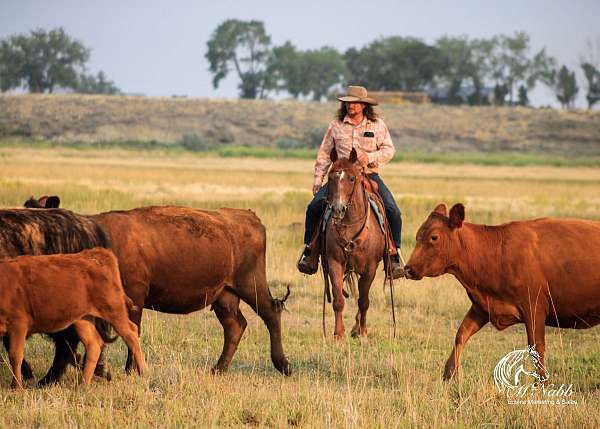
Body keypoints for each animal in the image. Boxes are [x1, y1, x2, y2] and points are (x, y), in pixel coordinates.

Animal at [1, 247, 147, 388]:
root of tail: (97, 254)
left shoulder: (18, 324)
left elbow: (15, 356)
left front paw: (17, 387)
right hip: (83, 319)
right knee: (93, 344)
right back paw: (83, 384)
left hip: (114, 311)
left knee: (131, 333)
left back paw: (144, 373)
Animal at [318, 147, 394, 338]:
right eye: (330, 177)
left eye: (352, 178)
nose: (338, 209)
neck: (351, 225)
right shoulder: (334, 263)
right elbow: (338, 299)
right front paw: (338, 334)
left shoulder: (370, 268)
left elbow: (364, 301)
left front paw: (362, 332)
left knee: (362, 297)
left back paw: (357, 328)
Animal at [406, 204, 600, 382]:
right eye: (417, 236)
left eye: (434, 237)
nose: (408, 269)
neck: (495, 254)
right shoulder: (481, 307)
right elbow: (461, 334)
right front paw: (449, 373)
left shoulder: (534, 308)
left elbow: (536, 347)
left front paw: (542, 383)